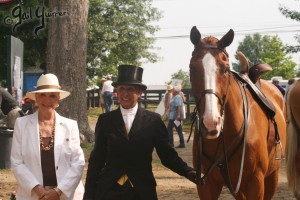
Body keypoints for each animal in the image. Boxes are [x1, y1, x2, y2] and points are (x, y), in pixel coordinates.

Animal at [190, 25, 286, 199]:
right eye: (192, 68)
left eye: (225, 69)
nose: (210, 123)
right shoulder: (207, 185)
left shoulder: (256, 182)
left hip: (272, 176)